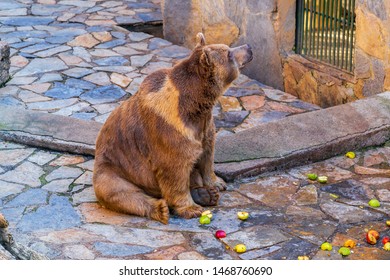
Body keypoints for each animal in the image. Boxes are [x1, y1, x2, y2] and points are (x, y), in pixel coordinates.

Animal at [94, 32, 253, 224]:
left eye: (228, 48)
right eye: (229, 54)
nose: (248, 48)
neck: (194, 106)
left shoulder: (204, 127)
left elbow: (207, 155)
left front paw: (217, 183)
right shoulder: (170, 129)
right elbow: (175, 169)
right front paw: (191, 208)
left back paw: (206, 194)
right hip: (114, 168)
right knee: (121, 193)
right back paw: (161, 209)